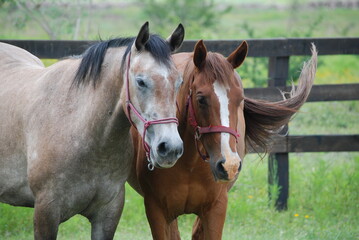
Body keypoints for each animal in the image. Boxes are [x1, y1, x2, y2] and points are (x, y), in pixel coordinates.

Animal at [130, 39, 318, 238]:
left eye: (240, 99)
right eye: (201, 99)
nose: (229, 164)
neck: (189, 165)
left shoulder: (216, 209)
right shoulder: (157, 212)